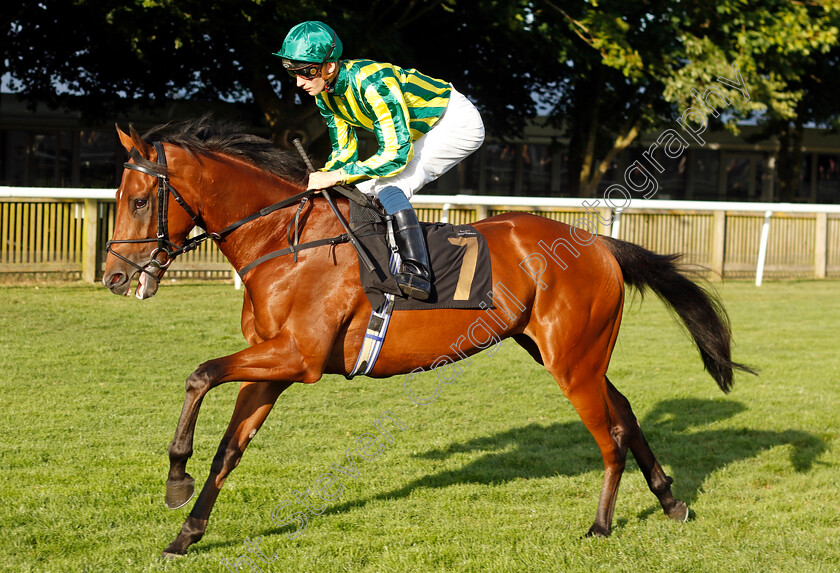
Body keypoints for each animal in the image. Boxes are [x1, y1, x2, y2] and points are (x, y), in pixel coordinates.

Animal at [101, 117, 752, 560]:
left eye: (140, 200)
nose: (115, 276)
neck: (285, 241)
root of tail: (599, 243)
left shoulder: (296, 357)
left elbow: (200, 373)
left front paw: (176, 479)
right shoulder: (275, 368)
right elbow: (229, 448)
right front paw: (186, 532)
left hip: (572, 362)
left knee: (610, 434)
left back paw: (600, 525)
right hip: (572, 353)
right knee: (628, 413)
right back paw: (671, 501)